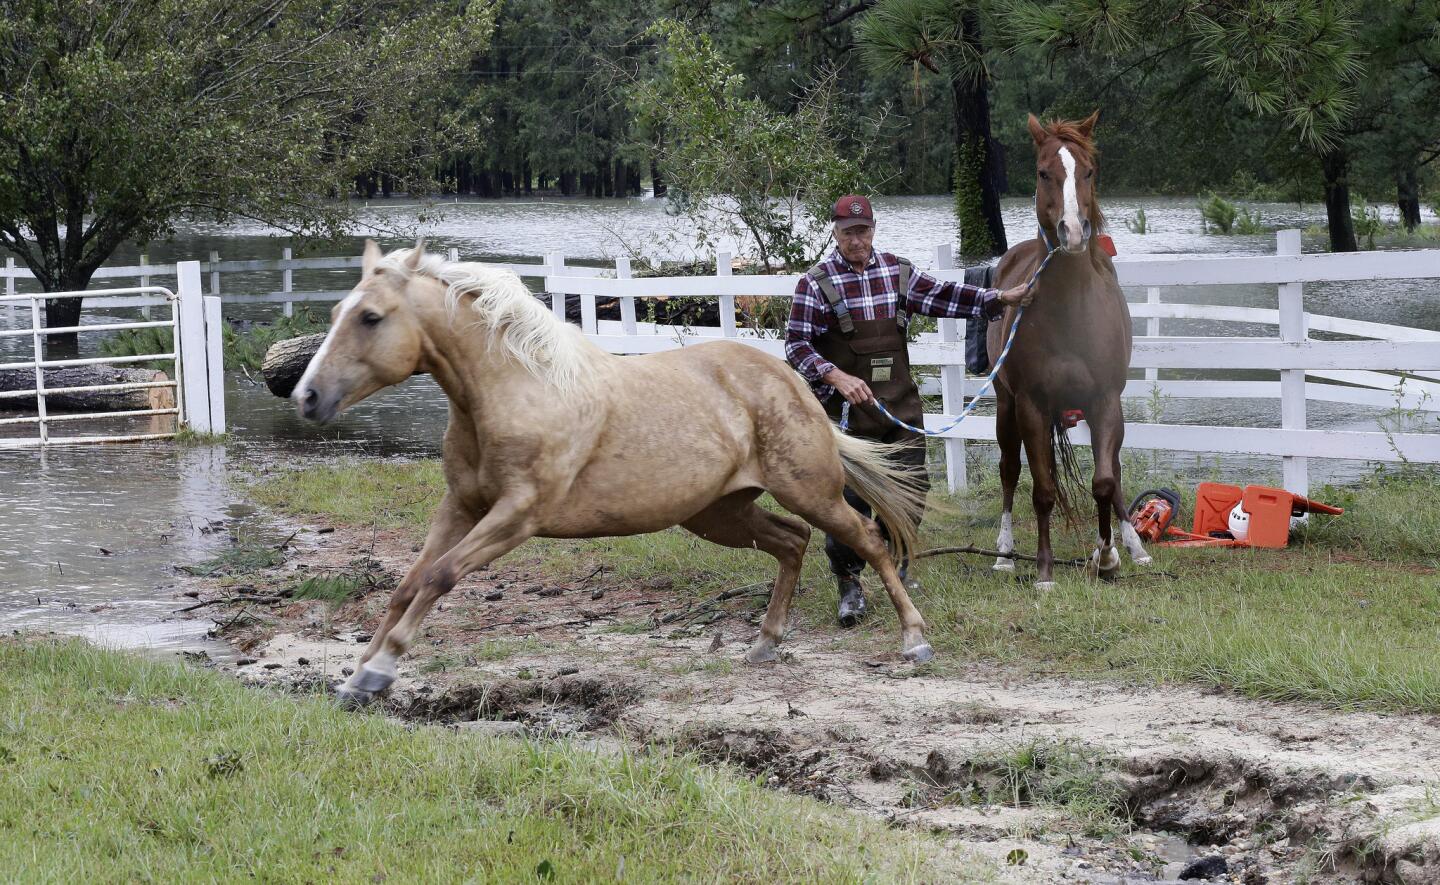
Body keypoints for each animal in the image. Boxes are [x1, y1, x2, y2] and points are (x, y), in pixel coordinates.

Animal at [298, 240, 938, 705]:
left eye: (371, 317)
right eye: (335, 313)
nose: (307, 397)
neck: (516, 390)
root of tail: (795, 382)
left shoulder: (516, 517)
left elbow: (439, 577)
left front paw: (380, 669)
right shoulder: (461, 506)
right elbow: (407, 584)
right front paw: (357, 677)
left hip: (809, 491)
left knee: (867, 538)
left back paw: (914, 640)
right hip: (718, 513)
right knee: (791, 541)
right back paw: (764, 643)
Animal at [984, 112, 1152, 590]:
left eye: (1089, 171)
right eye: (1044, 172)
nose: (1073, 232)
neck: (1069, 310)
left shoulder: (1106, 401)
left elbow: (1105, 481)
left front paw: (1108, 556)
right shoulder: (1032, 407)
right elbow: (1041, 490)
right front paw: (1044, 572)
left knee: (1113, 473)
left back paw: (1135, 546)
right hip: (1005, 408)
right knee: (1009, 471)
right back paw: (1004, 554)